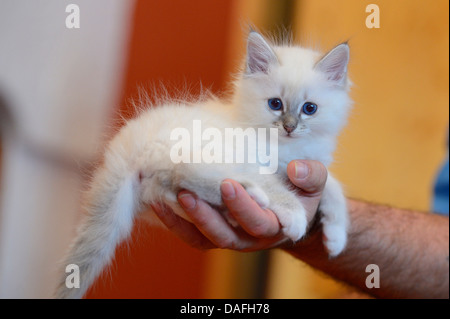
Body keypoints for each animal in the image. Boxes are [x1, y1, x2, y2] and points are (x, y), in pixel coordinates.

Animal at [55, 31, 352, 298]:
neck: (286, 147)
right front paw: (297, 218)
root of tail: (125, 146)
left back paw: (235, 206)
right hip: (206, 153)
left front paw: (336, 238)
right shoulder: (259, 165)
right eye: (275, 104)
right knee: (188, 174)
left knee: (175, 186)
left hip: (158, 186)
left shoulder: (307, 165)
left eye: (309, 108)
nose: (289, 127)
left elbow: (334, 189)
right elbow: (284, 191)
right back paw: (251, 193)